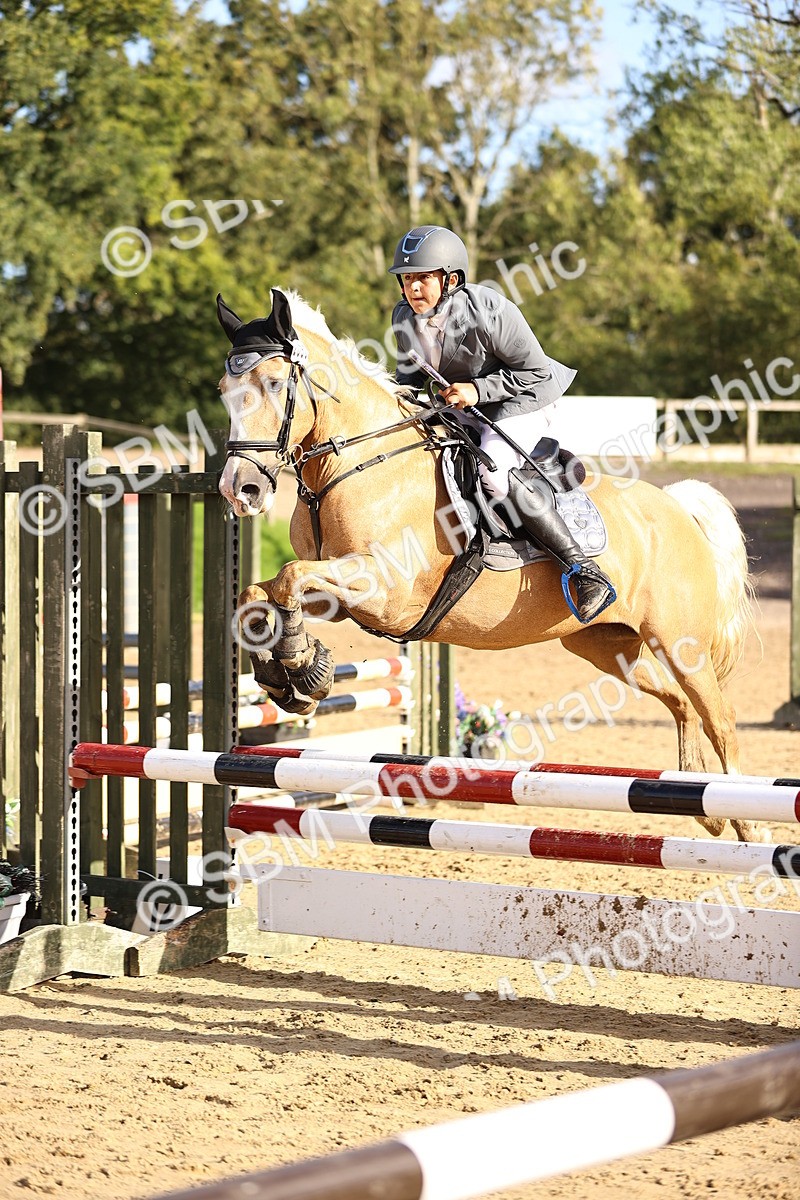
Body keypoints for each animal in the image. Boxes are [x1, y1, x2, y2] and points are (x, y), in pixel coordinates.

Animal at [217, 287, 761, 843]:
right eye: (224, 389)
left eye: (275, 383)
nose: (241, 490)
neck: (356, 465)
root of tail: (676, 508)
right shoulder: (343, 593)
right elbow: (257, 595)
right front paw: (287, 673)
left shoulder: (384, 592)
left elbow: (288, 578)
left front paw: (302, 666)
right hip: (609, 647)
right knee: (680, 703)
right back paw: (702, 808)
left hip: (679, 641)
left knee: (721, 717)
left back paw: (743, 820)